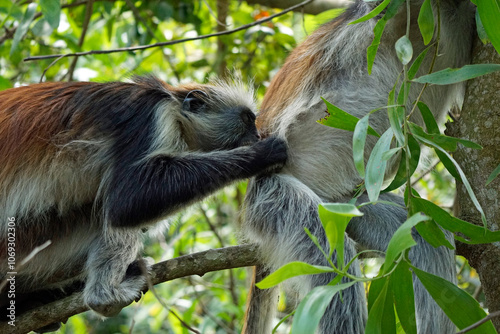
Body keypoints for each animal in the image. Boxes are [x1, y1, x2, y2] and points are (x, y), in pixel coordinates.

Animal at [0, 76, 290, 332]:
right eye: (248, 120)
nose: (257, 136)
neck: (171, 101)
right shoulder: (152, 116)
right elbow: (127, 200)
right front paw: (262, 154)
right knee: (113, 212)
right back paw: (105, 297)